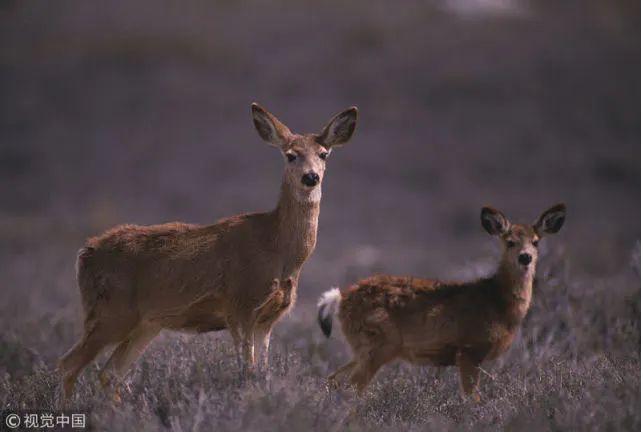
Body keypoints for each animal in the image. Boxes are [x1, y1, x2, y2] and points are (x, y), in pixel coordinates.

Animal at [57, 103, 358, 400]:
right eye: (291, 155)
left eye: (323, 154)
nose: (311, 177)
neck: (277, 249)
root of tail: (85, 253)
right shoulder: (239, 306)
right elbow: (247, 373)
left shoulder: (268, 318)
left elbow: (262, 373)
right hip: (111, 311)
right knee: (68, 365)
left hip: (145, 323)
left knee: (109, 373)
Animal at [318, 204, 564, 400]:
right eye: (510, 242)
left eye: (536, 242)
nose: (525, 257)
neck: (497, 304)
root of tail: (341, 297)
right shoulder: (469, 350)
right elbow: (472, 400)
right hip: (377, 342)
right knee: (351, 388)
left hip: (362, 347)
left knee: (333, 379)